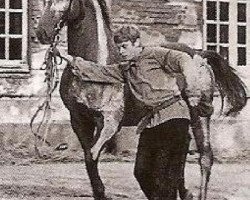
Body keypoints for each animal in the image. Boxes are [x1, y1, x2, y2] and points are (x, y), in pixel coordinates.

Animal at [36, 0, 247, 199]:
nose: (42, 33)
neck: (96, 62)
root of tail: (199, 54)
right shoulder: (79, 121)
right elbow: (89, 161)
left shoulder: (108, 122)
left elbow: (91, 156)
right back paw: (185, 191)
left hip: (200, 115)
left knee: (205, 157)